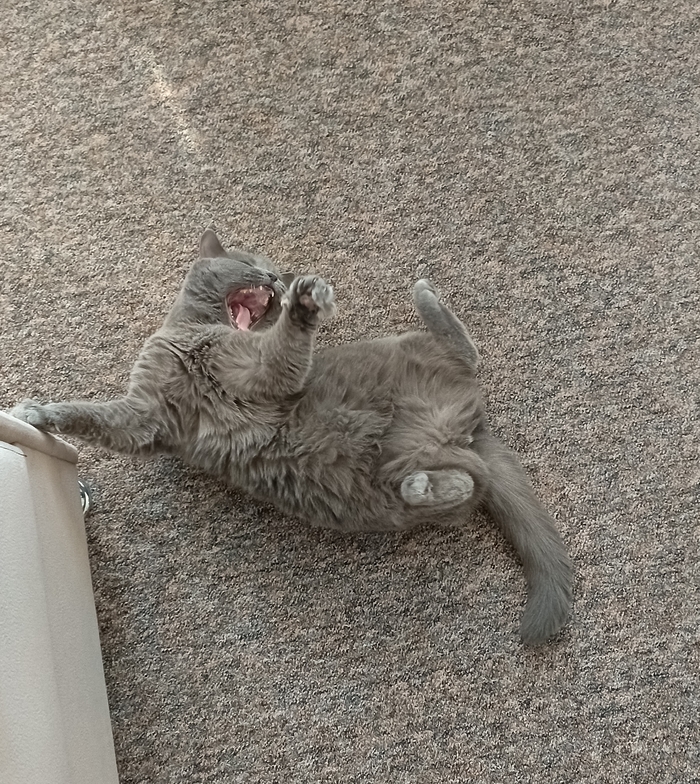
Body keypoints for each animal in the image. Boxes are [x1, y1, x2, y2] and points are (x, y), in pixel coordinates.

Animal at [11, 229, 572, 644]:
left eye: (269, 267)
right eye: (249, 260)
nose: (276, 278)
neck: (195, 337)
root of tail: (471, 431)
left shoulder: (262, 376)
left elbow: (282, 352)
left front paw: (304, 305)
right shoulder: (145, 416)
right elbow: (96, 417)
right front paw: (38, 413)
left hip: (403, 352)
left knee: (467, 354)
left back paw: (423, 294)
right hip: (395, 475)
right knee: (464, 483)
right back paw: (423, 484)